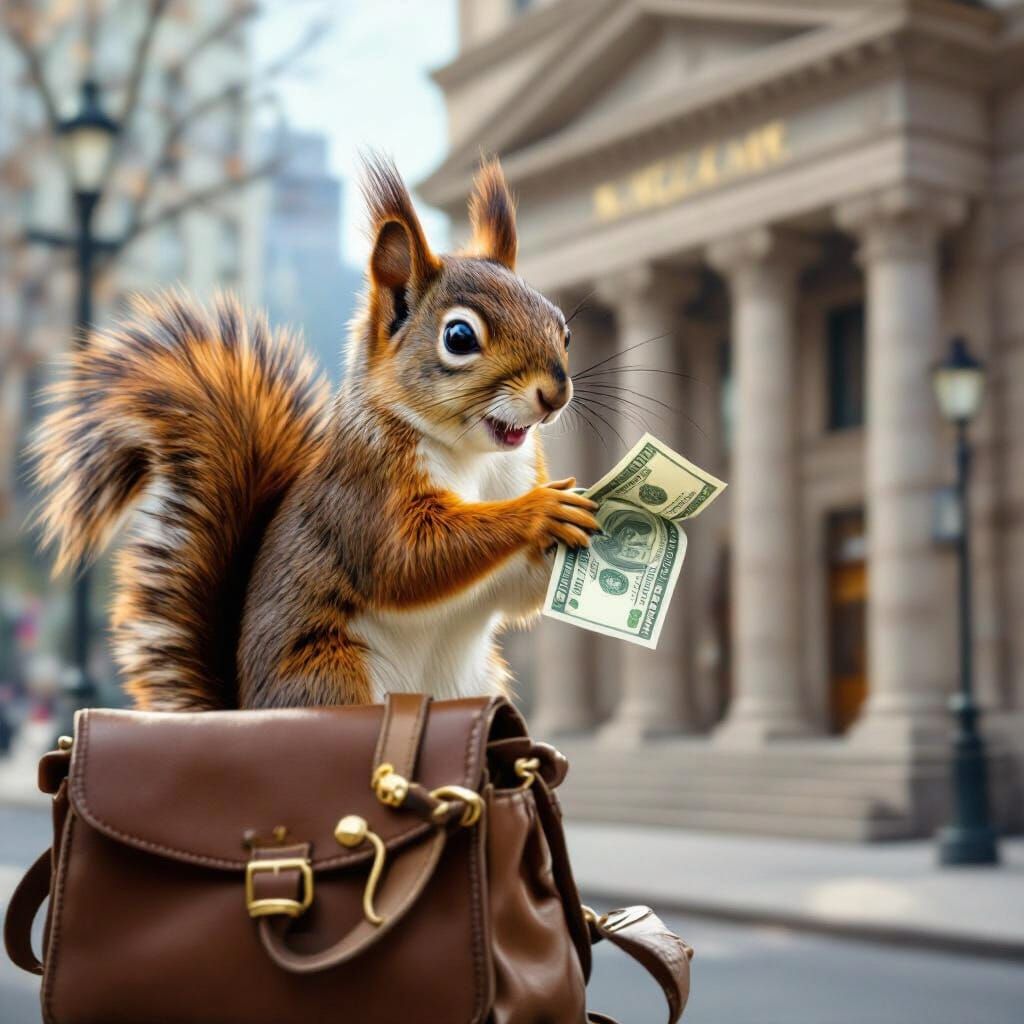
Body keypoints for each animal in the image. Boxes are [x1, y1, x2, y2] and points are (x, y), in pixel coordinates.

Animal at [32, 157, 600, 711]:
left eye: (564, 329)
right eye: (459, 337)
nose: (555, 393)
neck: (474, 459)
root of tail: (241, 709)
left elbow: (516, 593)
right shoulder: (363, 493)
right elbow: (408, 557)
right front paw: (542, 510)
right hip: (331, 672)